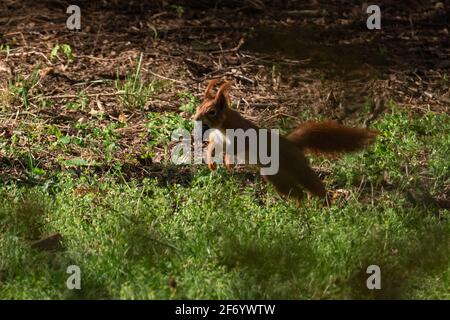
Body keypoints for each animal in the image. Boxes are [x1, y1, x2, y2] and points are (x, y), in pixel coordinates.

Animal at [193, 80, 380, 205]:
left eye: (212, 111)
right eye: (198, 107)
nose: (195, 117)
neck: (220, 128)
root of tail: (292, 144)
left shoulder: (242, 135)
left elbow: (236, 149)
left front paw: (228, 162)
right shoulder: (217, 140)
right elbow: (212, 148)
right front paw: (211, 162)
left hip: (296, 167)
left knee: (311, 184)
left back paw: (326, 202)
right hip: (277, 176)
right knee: (297, 192)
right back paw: (301, 206)